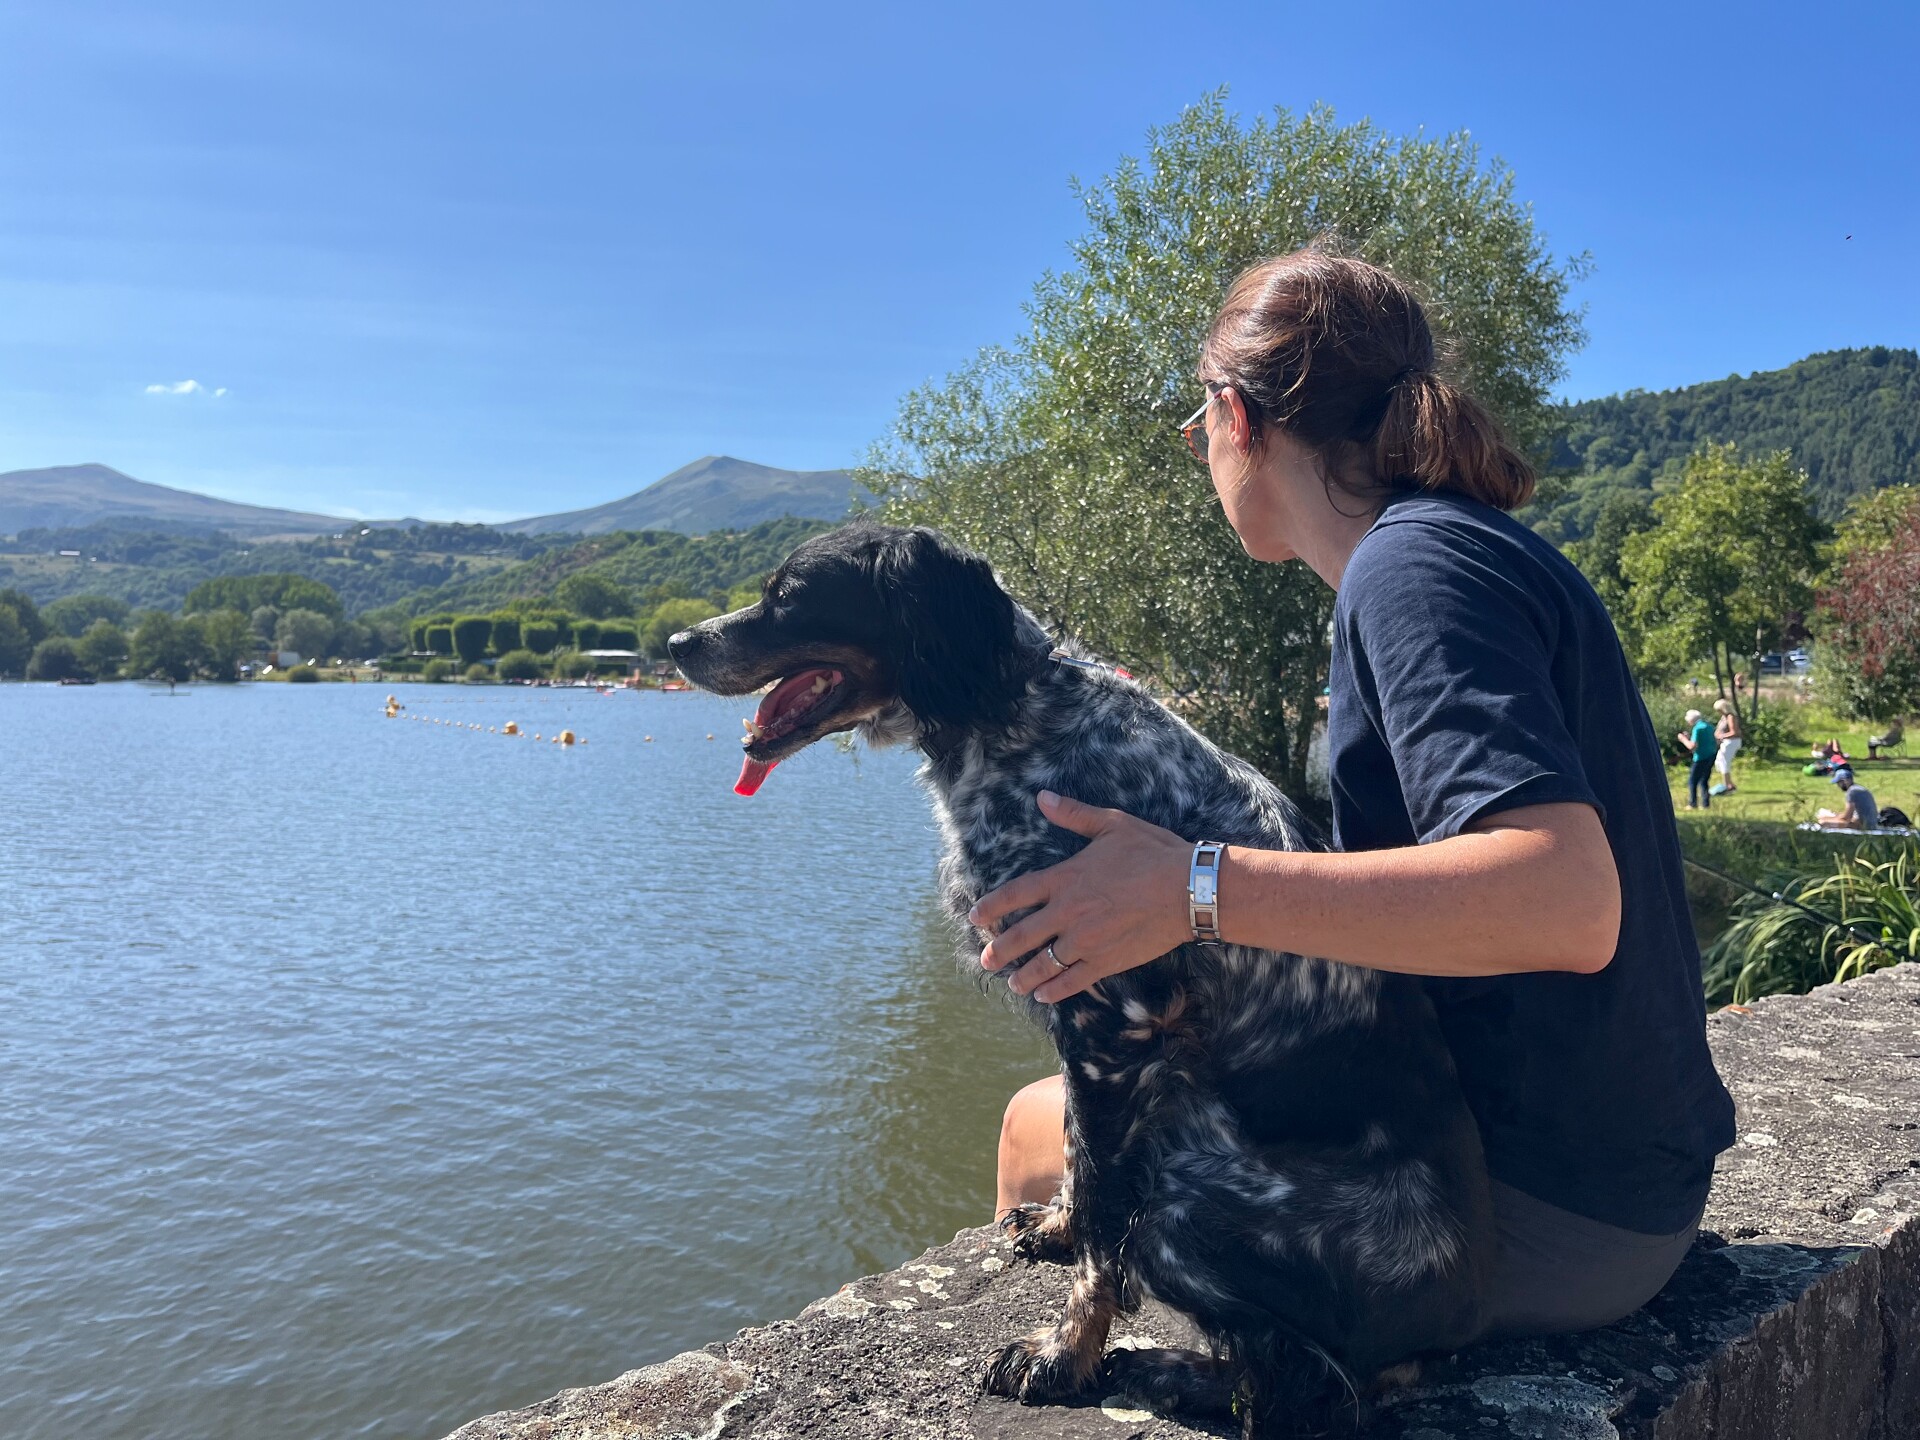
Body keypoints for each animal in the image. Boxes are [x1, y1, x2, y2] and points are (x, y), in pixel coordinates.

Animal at [668, 526, 1489, 1436]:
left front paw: (1064, 1356)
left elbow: (1104, 1226)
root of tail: (1462, 1328)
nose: (675, 642)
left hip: (1184, 1204)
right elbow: (1077, 1153)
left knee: (1299, 1386)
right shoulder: (1081, 1025)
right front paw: (1056, 1226)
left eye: (791, 594)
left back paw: (1164, 1371)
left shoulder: (1113, 1024)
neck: (1015, 720)